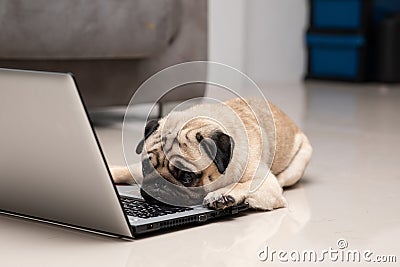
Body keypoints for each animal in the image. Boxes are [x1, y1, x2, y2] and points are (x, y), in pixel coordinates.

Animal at [110, 98, 312, 211]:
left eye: (187, 177)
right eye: (146, 167)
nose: (158, 186)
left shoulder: (268, 184)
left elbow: (243, 184)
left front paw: (221, 195)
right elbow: (129, 170)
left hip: (297, 164)